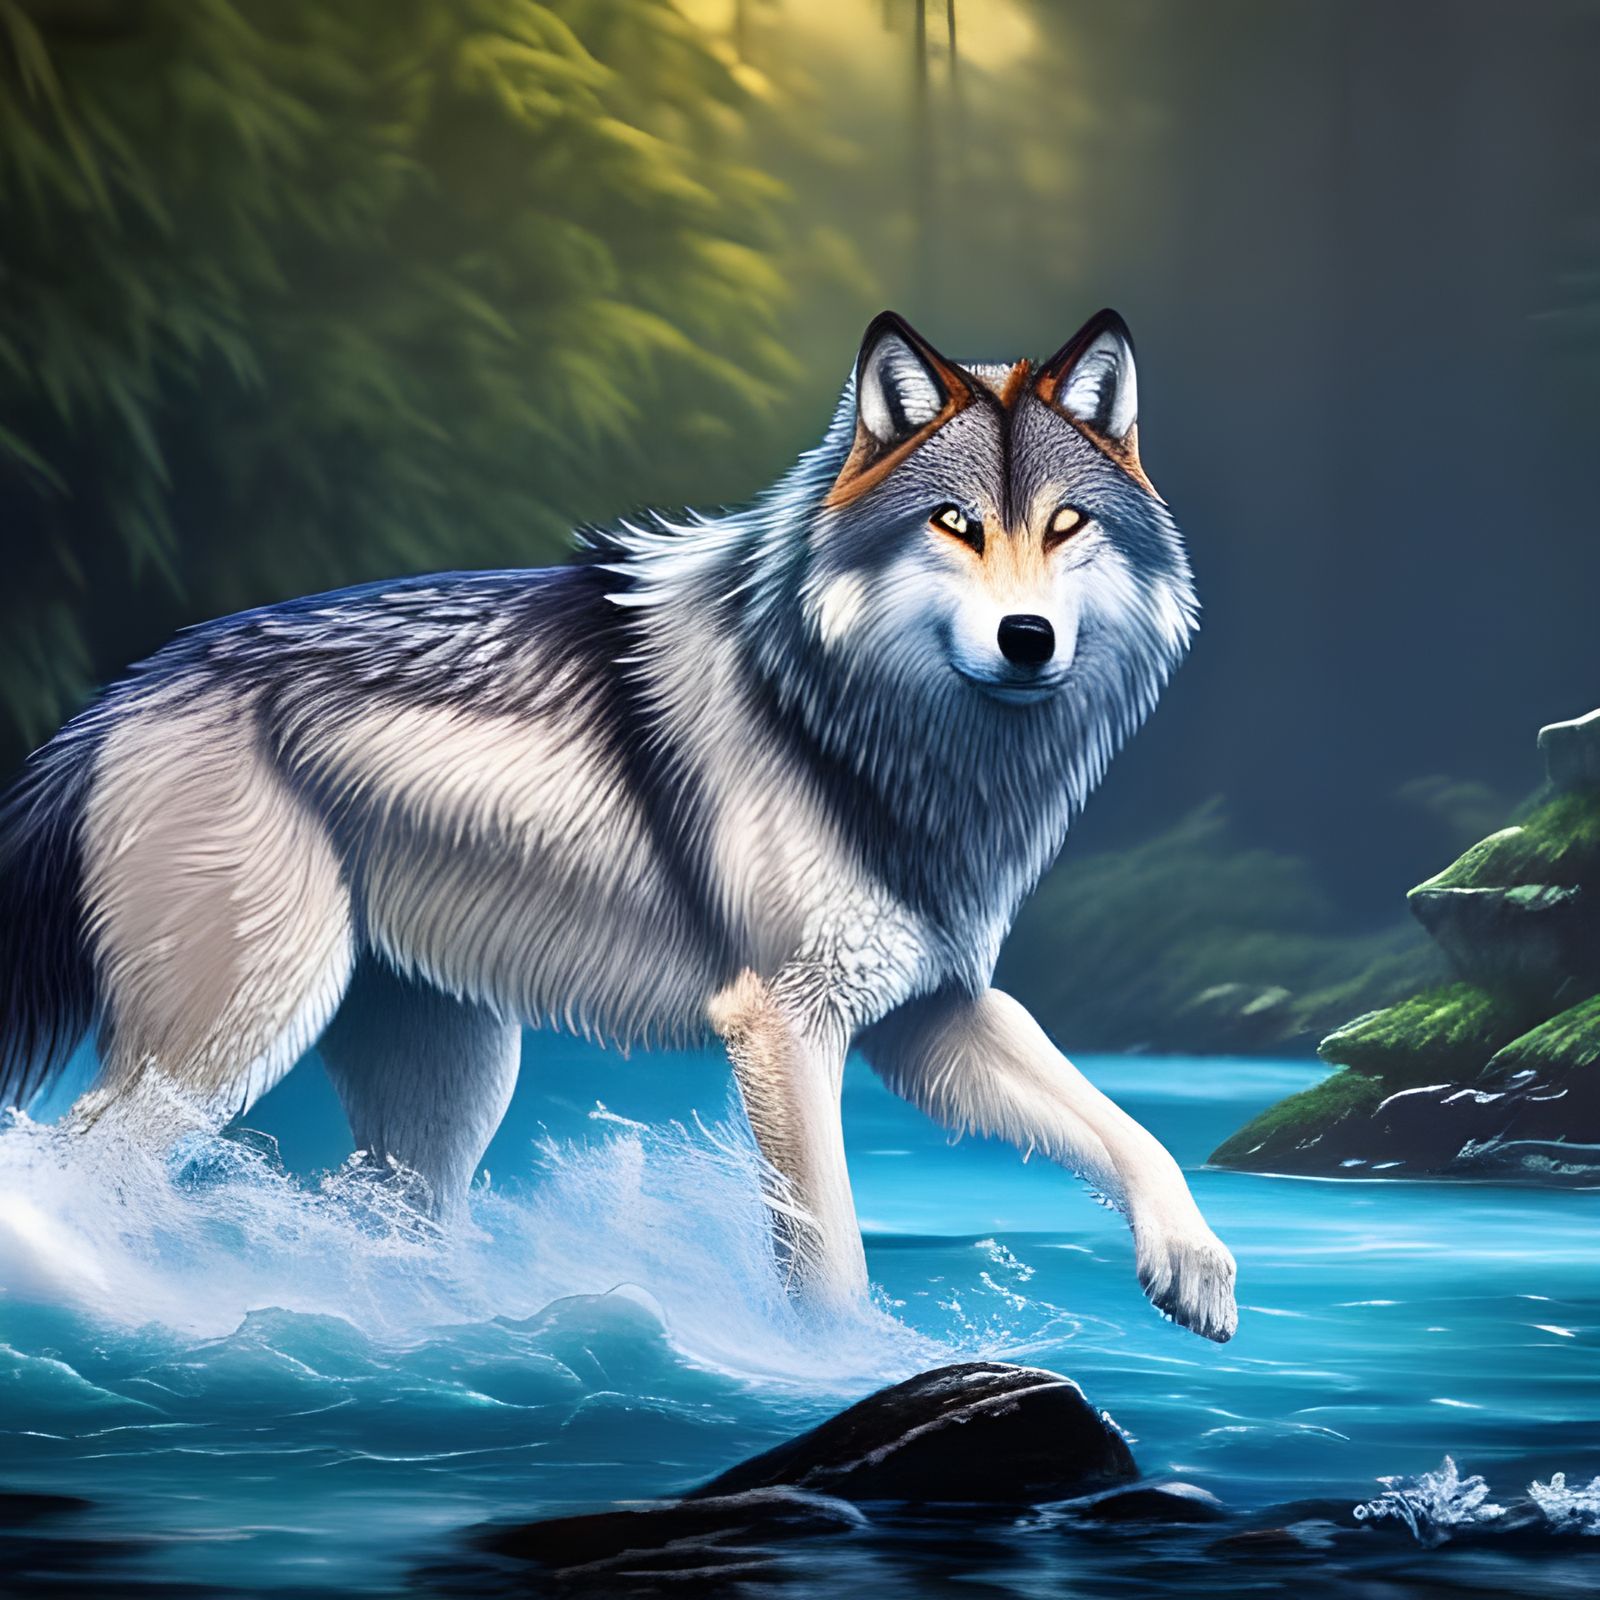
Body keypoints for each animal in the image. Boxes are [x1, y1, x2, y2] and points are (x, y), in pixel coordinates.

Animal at [0, 309, 1236, 1340]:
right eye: (954, 525)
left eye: (1066, 524)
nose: (1028, 638)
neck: (844, 723)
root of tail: (124, 692)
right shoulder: (785, 1026)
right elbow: (830, 1261)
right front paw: (836, 1372)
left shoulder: (930, 1011)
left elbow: (1125, 1127)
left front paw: (1196, 1261)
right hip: (234, 1040)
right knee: (70, 1168)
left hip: (440, 1100)